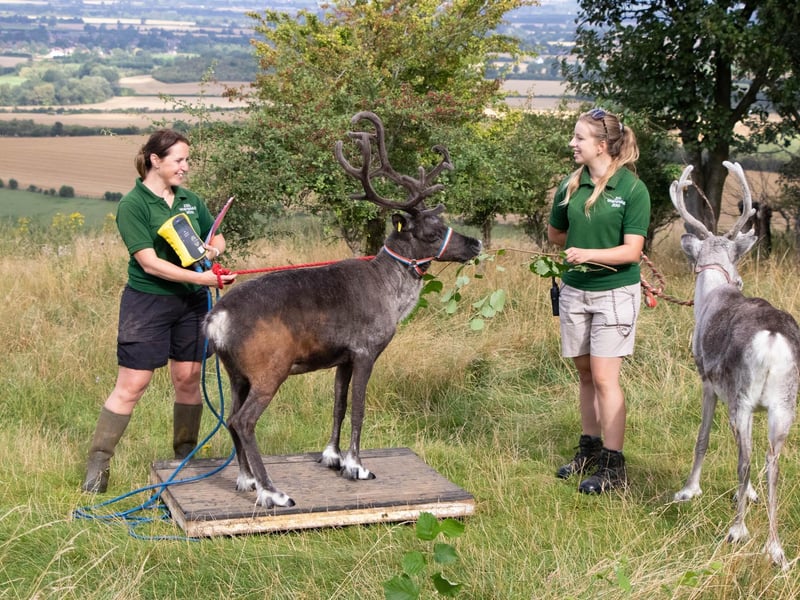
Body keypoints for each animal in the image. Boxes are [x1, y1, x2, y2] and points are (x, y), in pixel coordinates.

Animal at [203, 111, 482, 509]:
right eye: (432, 231)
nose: (474, 243)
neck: (391, 294)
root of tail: (216, 319)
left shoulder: (342, 358)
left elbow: (338, 403)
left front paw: (332, 457)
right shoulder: (366, 350)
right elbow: (360, 408)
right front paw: (357, 466)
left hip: (236, 373)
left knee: (229, 418)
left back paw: (246, 480)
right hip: (270, 370)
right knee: (244, 422)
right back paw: (273, 491)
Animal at [670, 161, 800, 569]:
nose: (741, 280)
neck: (714, 293)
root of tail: (772, 338)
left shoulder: (709, 382)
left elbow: (703, 437)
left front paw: (689, 489)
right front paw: (752, 495)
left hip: (741, 398)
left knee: (745, 457)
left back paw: (737, 530)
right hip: (784, 404)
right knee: (772, 460)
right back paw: (776, 550)